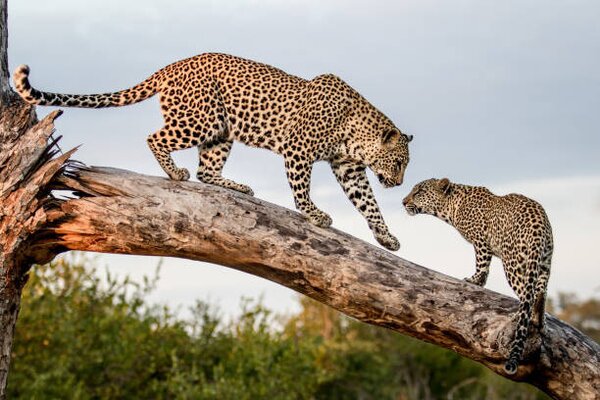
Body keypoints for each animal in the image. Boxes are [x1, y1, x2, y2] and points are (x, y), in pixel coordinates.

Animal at [12, 53, 412, 250]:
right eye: (399, 162)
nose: (397, 183)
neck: (355, 133)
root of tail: (175, 64)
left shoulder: (349, 169)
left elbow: (369, 204)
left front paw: (387, 237)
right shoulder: (299, 149)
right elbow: (302, 188)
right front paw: (314, 215)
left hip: (221, 131)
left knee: (207, 170)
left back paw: (237, 186)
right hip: (200, 120)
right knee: (154, 138)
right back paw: (175, 173)